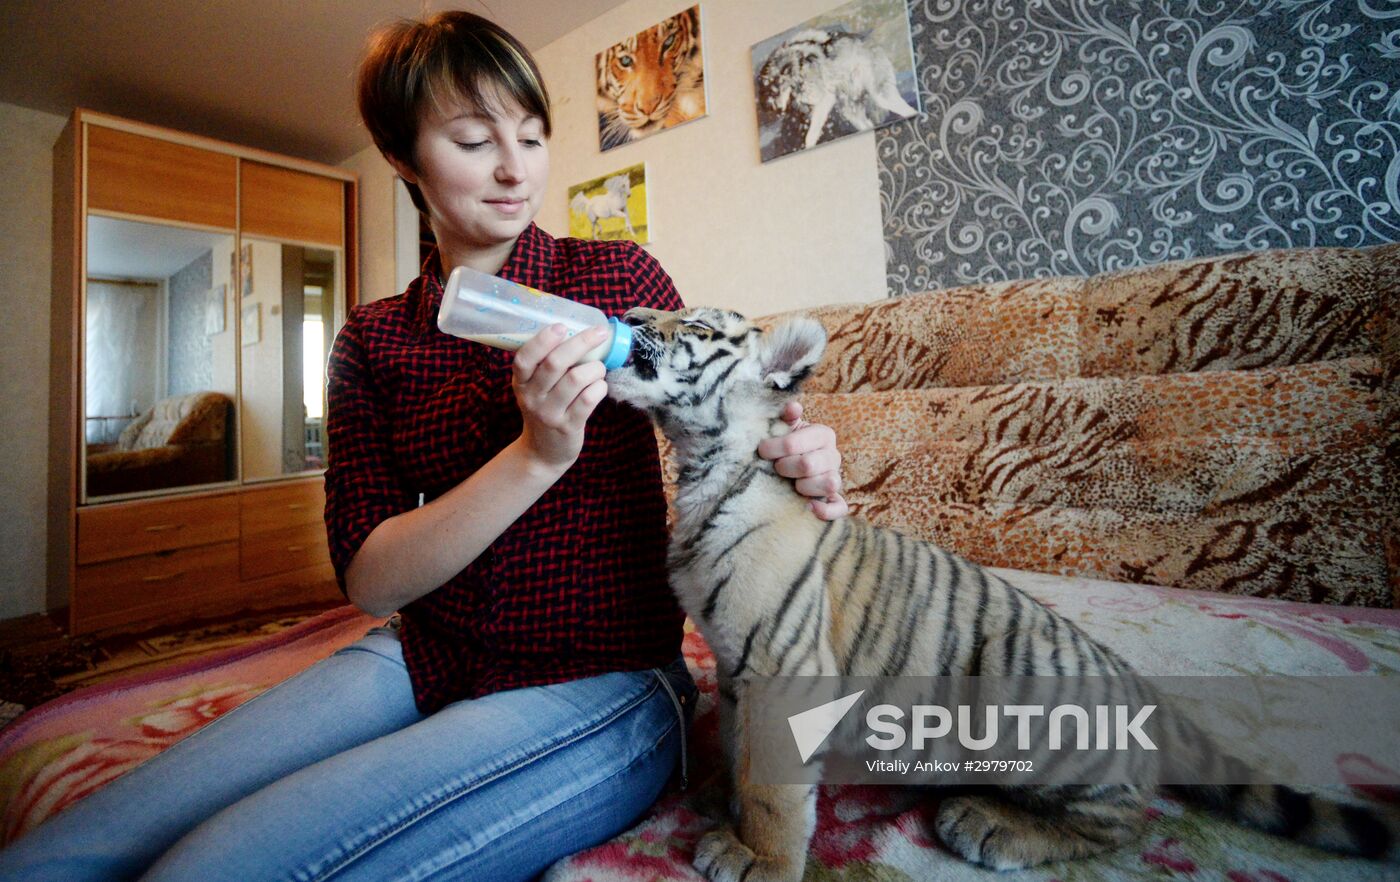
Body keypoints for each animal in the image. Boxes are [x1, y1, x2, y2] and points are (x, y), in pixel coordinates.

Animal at [604, 306, 1400, 882]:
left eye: (695, 326)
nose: (629, 310)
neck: (705, 468)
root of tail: (1138, 684)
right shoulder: (736, 666)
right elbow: (740, 748)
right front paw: (722, 796)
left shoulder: (781, 666)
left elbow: (774, 785)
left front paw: (757, 857)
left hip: (1021, 699)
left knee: (1127, 815)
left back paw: (992, 825)